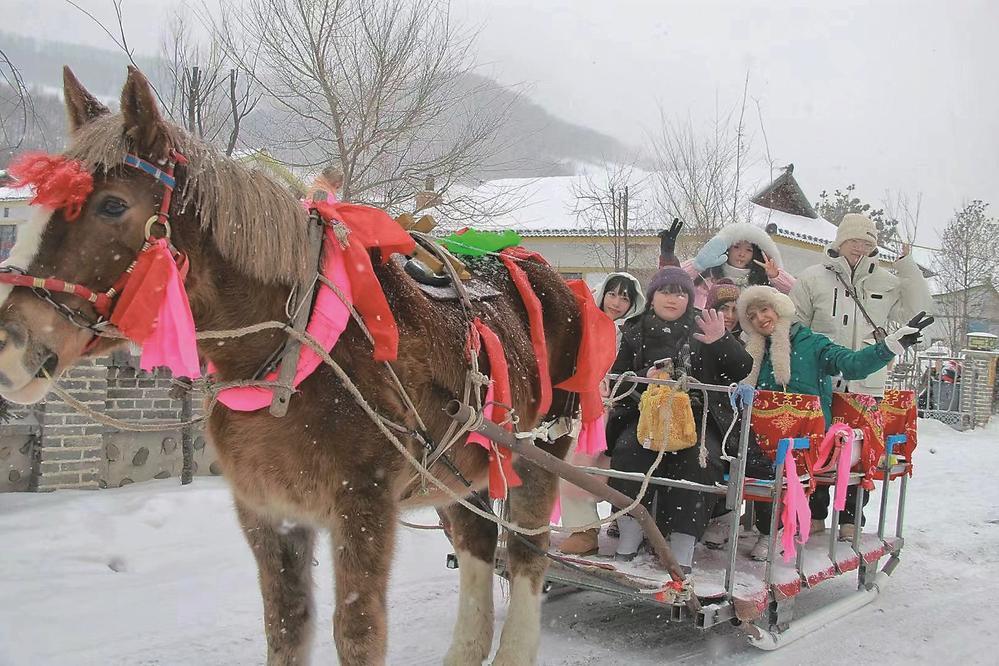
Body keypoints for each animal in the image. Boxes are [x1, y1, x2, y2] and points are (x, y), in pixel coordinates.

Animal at [1, 65, 584, 660]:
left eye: (113, 205)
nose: (10, 341)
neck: (292, 353)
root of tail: (543, 271)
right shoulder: (265, 509)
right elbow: (285, 624)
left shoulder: (363, 506)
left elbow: (358, 633)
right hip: (463, 465)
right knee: (477, 540)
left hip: (541, 453)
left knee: (527, 553)